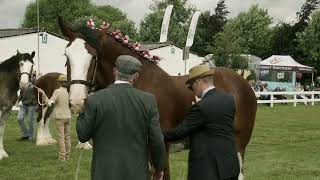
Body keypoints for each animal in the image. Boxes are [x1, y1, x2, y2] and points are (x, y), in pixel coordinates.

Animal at [58, 17, 256, 180]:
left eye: (94, 57)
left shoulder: (161, 150)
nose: (77, 101)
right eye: (66, 56)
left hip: (239, 143)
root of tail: (244, 82)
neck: (141, 83)